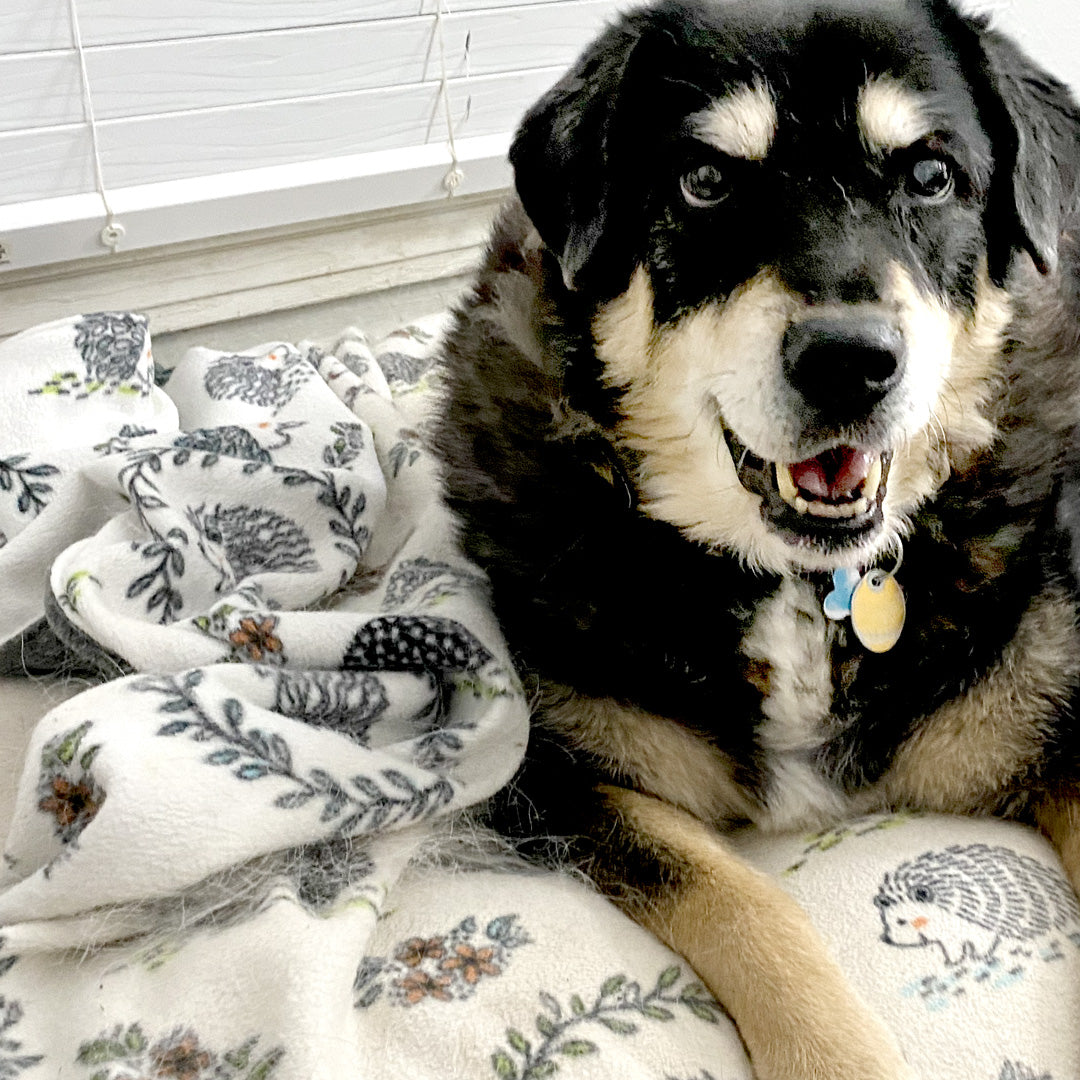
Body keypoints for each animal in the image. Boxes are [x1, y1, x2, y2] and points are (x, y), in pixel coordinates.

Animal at [429, 4, 1080, 1075]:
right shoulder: (565, 775)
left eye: (930, 176)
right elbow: (745, 903)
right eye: (705, 181)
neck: (808, 585)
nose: (850, 362)